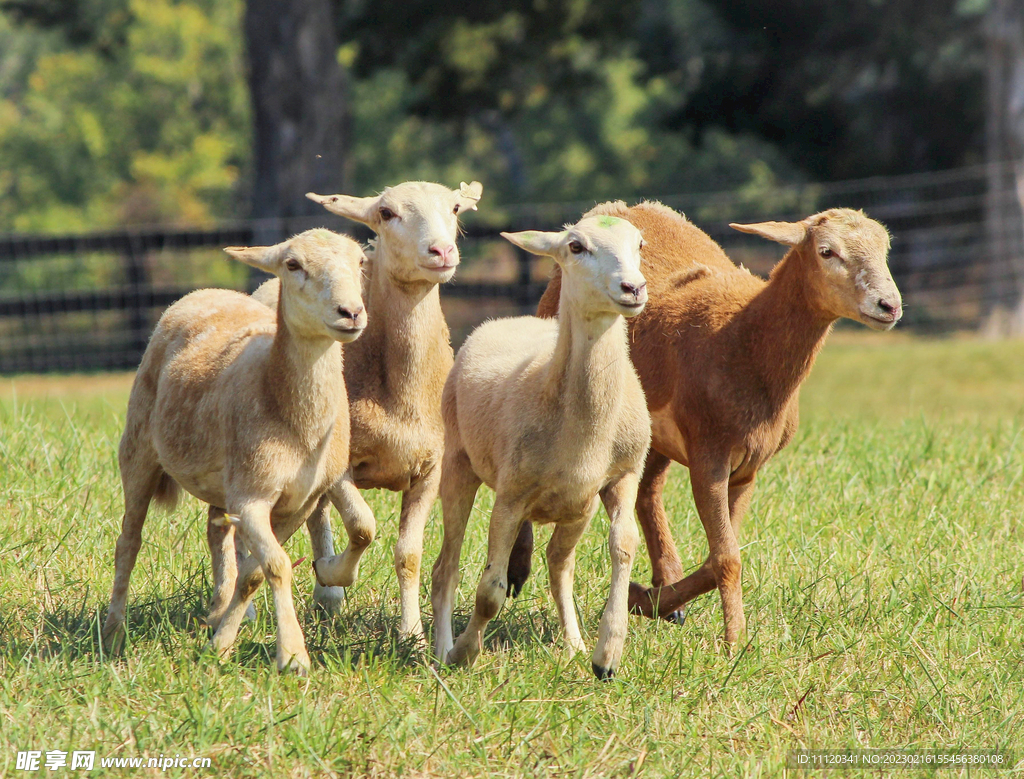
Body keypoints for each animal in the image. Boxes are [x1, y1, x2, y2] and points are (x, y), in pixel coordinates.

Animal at [102, 228, 368, 671]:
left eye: (361, 263)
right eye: (292, 265)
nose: (350, 312)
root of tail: (203, 292)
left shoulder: (300, 502)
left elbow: (255, 572)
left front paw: (221, 643)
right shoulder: (252, 496)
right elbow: (277, 565)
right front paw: (293, 655)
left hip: (221, 480)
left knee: (215, 530)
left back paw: (216, 610)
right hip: (137, 448)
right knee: (128, 541)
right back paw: (113, 634)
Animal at [235, 182, 483, 638]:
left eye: (455, 208)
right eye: (386, 213)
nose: (441, 251)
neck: (400, 394)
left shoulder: (431, 468)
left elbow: (408, 553)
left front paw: (412, 634)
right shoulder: (340, 467)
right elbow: (363, 525)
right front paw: (334, 572)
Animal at [428, 213, 651, 679]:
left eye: (639, 243)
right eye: (576, 247)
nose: (633, 288)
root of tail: (510, 317)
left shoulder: (623, 476)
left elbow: (624, 547)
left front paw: (608, 653)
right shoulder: (510, 495)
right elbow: (489, 592)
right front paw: (464, 653)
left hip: (577, 508)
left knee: (558, 565)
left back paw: (574, 644)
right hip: (458, 463)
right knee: (446, 568)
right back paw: (441, 650)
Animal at [520, 200, 905, 642]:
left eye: (885, 249)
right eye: (827, 252)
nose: (889, 305)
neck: (745, 342)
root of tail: (619, 207)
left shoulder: (748, 466)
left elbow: (718, 555)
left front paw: (644, 599)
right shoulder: (709, 455)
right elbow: (726, 558)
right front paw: (735, 641)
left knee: (648, 491)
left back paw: (665, 587)